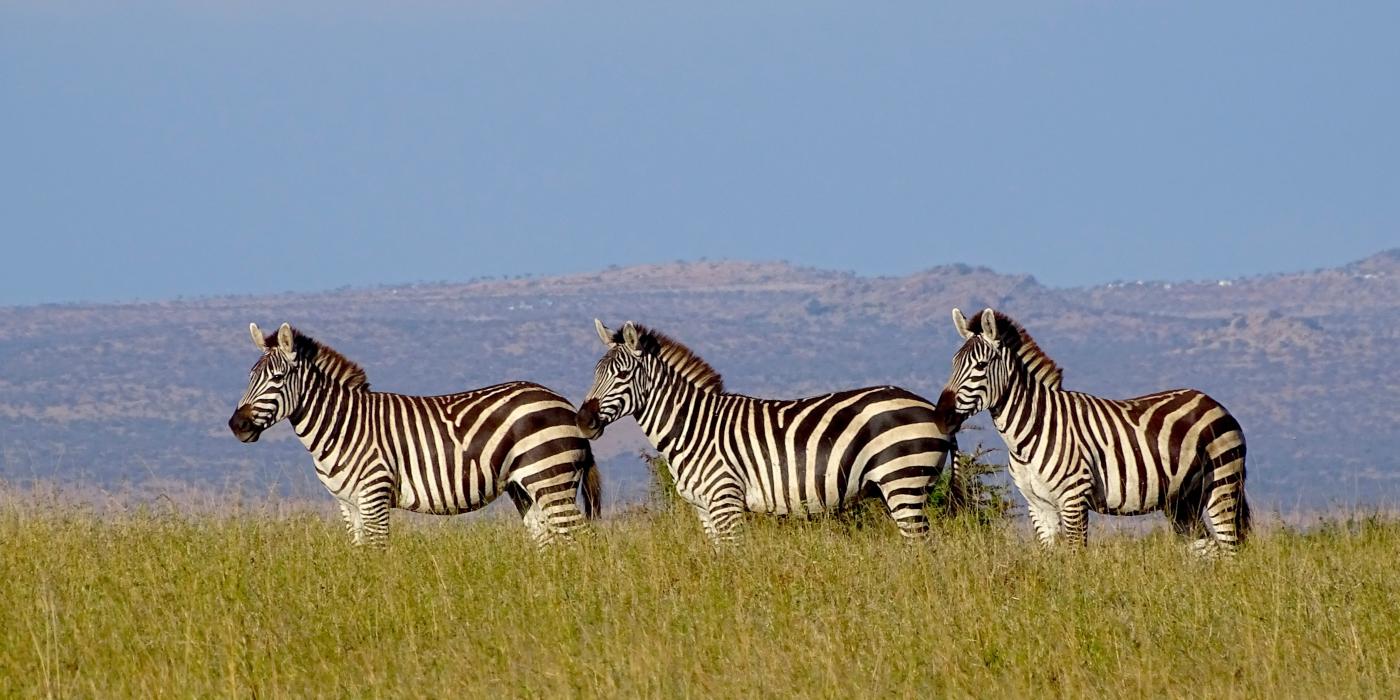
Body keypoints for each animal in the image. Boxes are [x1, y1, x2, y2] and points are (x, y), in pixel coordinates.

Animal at [226, 322, 599, 546]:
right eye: (250, 376)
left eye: (276, 378)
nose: (236, 425)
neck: (341, 426)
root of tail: (563, 402)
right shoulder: (347, 504)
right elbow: (358, 556)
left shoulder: (374, 495)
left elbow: (378, 552)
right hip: (524, 488)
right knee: (550, 541)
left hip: (549, 477)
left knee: (577, 537)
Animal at [574, 320, 957, 543]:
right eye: (595, 372)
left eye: (622, 375)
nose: (583, 421)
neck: (693, 428)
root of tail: (931, 408)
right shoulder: (703, 509)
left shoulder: (725, 501)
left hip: (903, 481)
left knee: (921, 546)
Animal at [940, 309, 1248, 554]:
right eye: (952, 363)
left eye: (980, 366)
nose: (942, 416)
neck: (1029, 432)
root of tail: (1211, 401)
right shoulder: (1039, 506)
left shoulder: (1073, 498)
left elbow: (1076, 557)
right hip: (1183, 500)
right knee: (1209, 550)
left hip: (1222, 482)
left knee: (1230, 550)